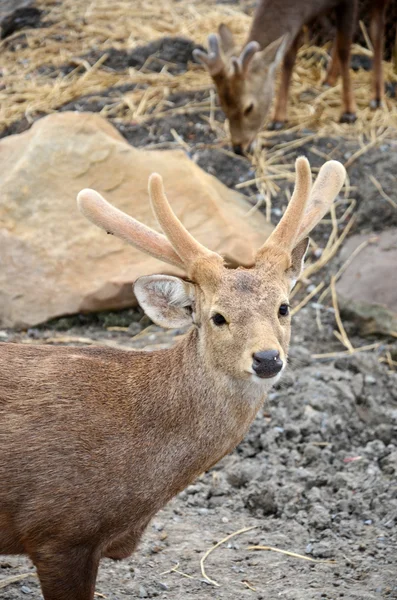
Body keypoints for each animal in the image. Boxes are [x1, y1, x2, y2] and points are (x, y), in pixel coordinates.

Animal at [193, 0, 388, 155]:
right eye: (222, 105)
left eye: (249, 107)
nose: (239, 148)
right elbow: (288, 58)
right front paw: (278, 119)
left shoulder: (348, 2)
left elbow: (345, 49)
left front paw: (349, 112)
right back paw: (329, 79)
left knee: (376, 29)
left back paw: (377, 97)